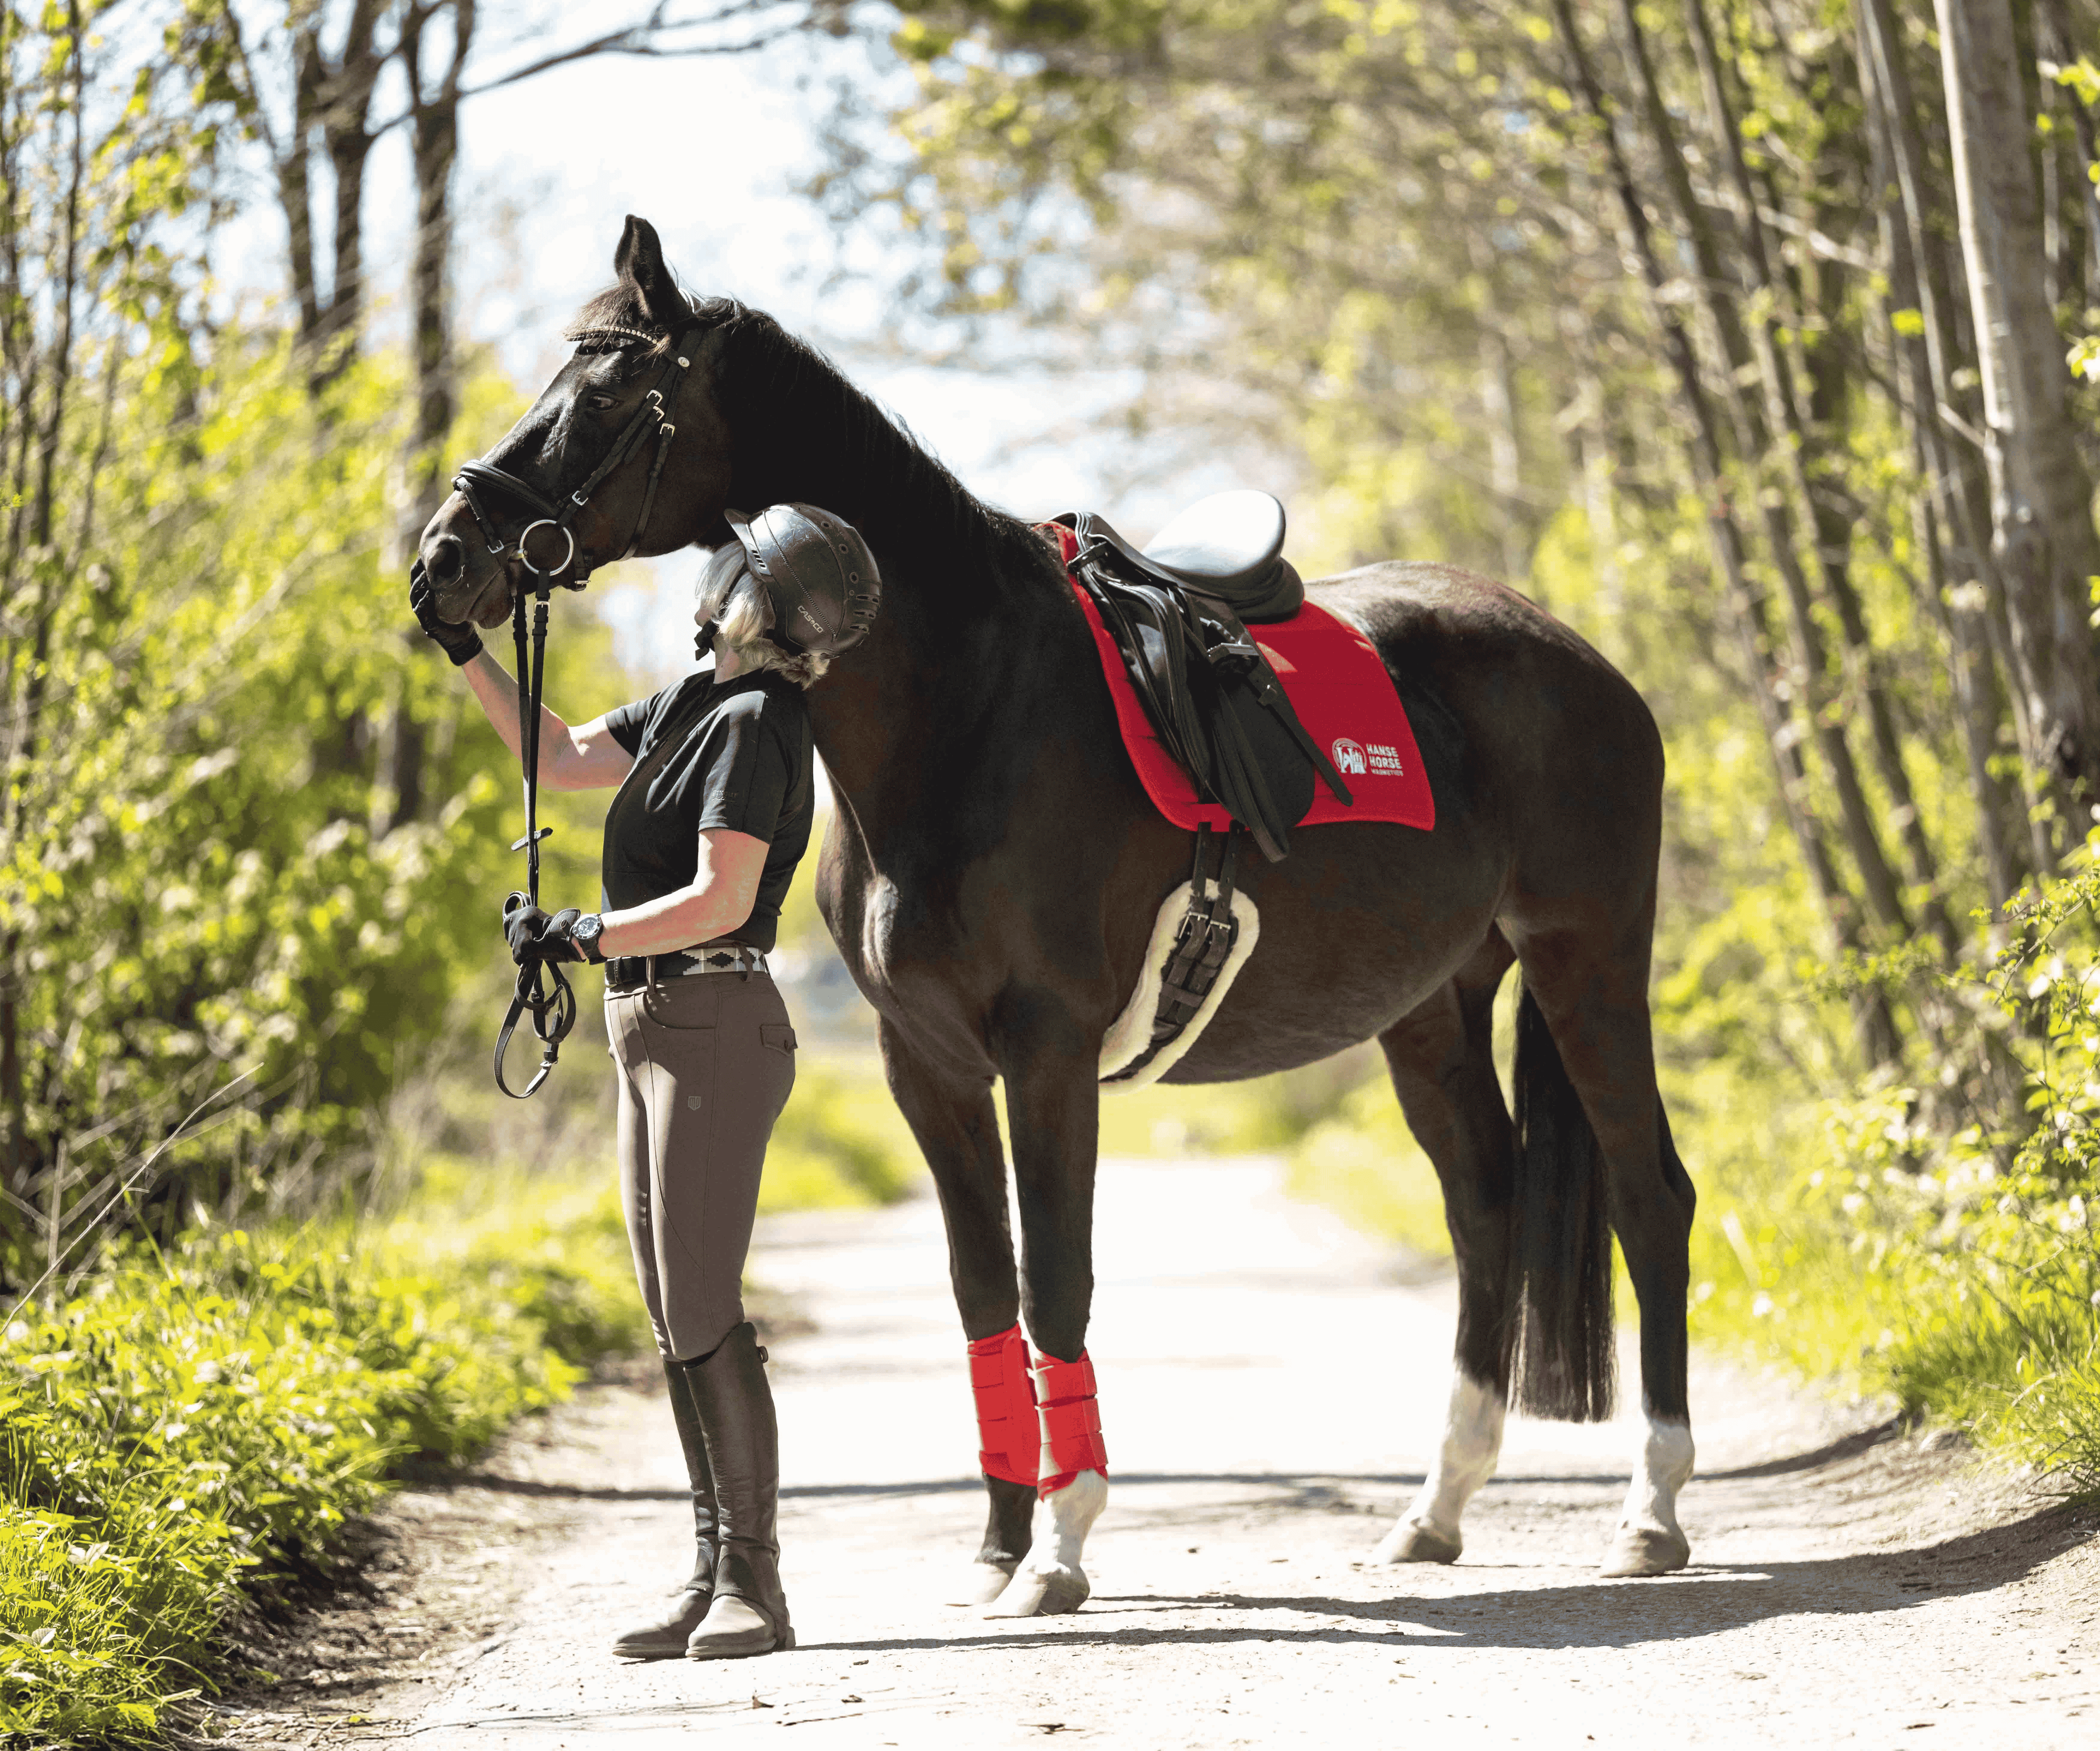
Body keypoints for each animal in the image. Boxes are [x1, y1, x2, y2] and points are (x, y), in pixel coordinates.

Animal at [416, 216, 1699, 1616]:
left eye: (601, 393)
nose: (445, 556)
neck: (972, 705)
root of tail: (1577, 657)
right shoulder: (923, 1063)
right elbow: (984, 1286)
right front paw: (996, 1539)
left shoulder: (1048, 1049)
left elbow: (1059, 1281)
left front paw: (1061, 1544)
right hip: (1431, 1005)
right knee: (1484, 1204)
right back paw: (1437, 1508)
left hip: (1585, 962)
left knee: (1650, 1197)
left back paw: (1650, 1511)